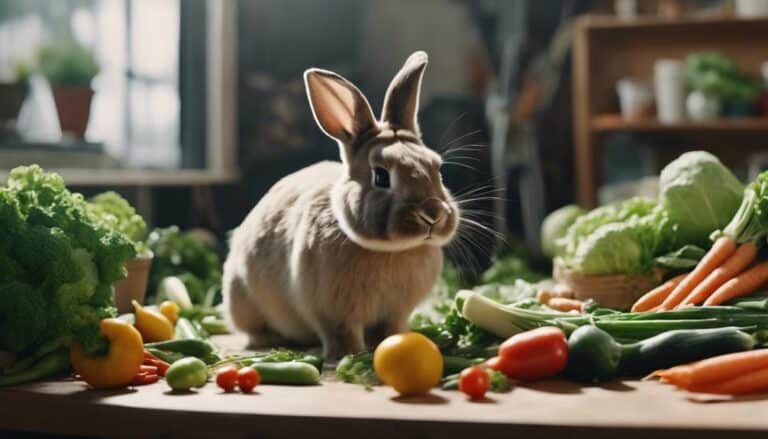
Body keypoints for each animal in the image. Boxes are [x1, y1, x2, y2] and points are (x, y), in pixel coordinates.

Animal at [223, 51, 460, 360]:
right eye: (381, 176)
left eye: (437, 169)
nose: (432, 214)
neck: (390, 251)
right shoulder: (333, 312)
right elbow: (341, 332)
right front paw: (347, 356)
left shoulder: (395, 312)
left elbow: (389, 330)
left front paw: (390, 342)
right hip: (242, 298)